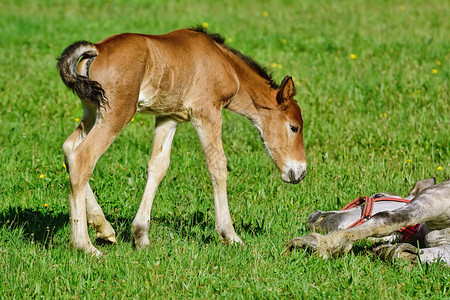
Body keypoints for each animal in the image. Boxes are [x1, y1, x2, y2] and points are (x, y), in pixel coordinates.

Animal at [58, 27, 306, 255]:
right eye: (294, 127)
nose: (300, 173)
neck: (224, 62)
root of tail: (97, 49)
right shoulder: (206, 113)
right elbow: (218, 165)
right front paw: (231, 235)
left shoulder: (168, 117)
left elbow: (158, 166)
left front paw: (141, 236)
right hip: (118, 113)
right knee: (83, 157)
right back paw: (85, 246)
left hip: (92, 111)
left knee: (70, 149)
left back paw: (104, 228)